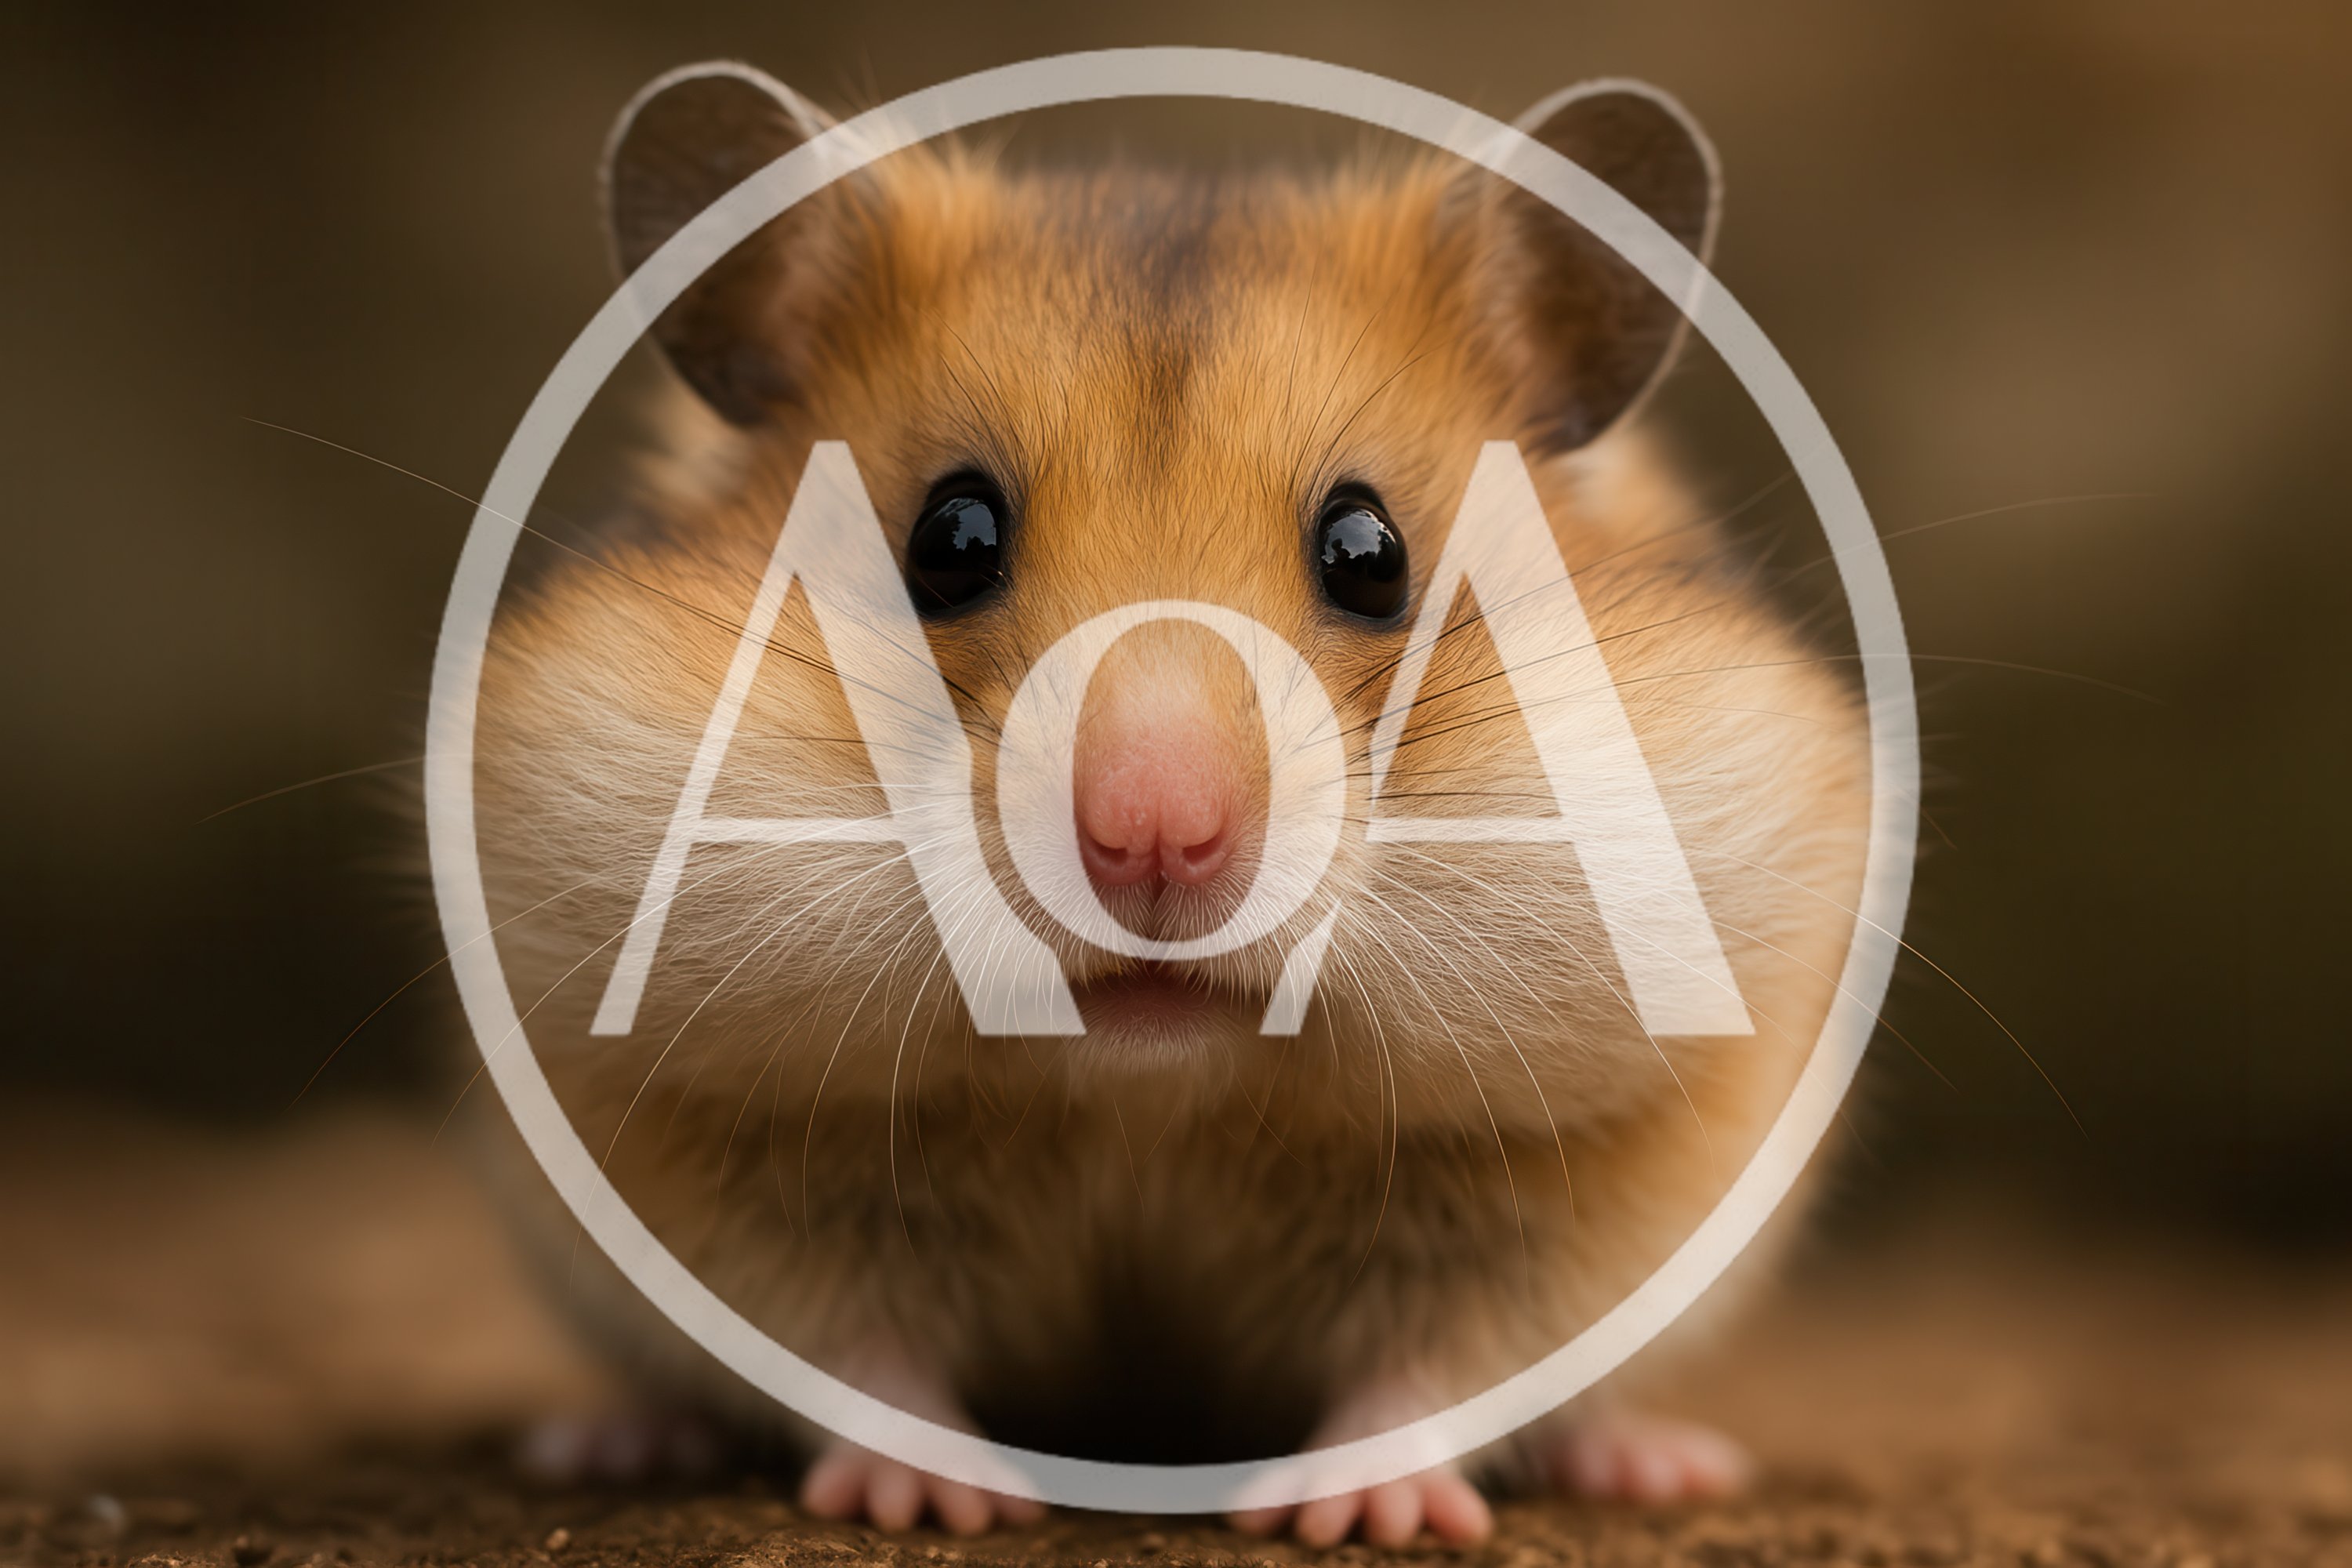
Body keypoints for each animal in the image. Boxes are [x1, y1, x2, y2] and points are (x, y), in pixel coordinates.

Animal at [464, 61, 1872, 1547]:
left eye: (1371, 552)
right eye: (950, 538)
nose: (1151, 841)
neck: (1142, 1097)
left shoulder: (1589, 1171)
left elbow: (1438, 1367)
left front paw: (1348, 1518)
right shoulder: (703, 1137)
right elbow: (854, 1354)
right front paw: (947, 1503)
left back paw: (1664, 1463)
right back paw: (604, 1444)